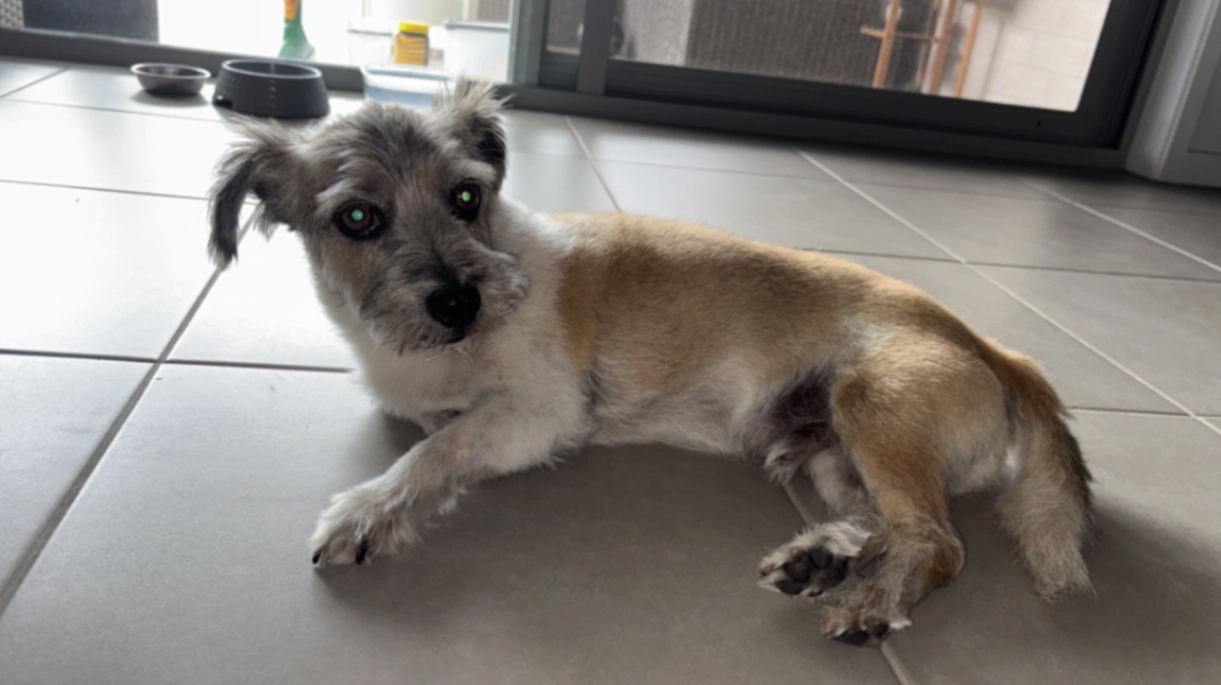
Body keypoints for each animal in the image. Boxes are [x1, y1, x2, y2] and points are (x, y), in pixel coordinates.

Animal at [207, 81, 1092, 647]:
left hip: (873, 405)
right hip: (827, 453)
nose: (457, 300)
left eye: (465, 195)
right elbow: (434, 432)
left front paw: (366, 512)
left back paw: (869, 603)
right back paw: (823, 557)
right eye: (356, 217)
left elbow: (434, 452)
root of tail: (993, 349)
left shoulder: (538, 414)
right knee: (888, 524)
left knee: (937, 541)